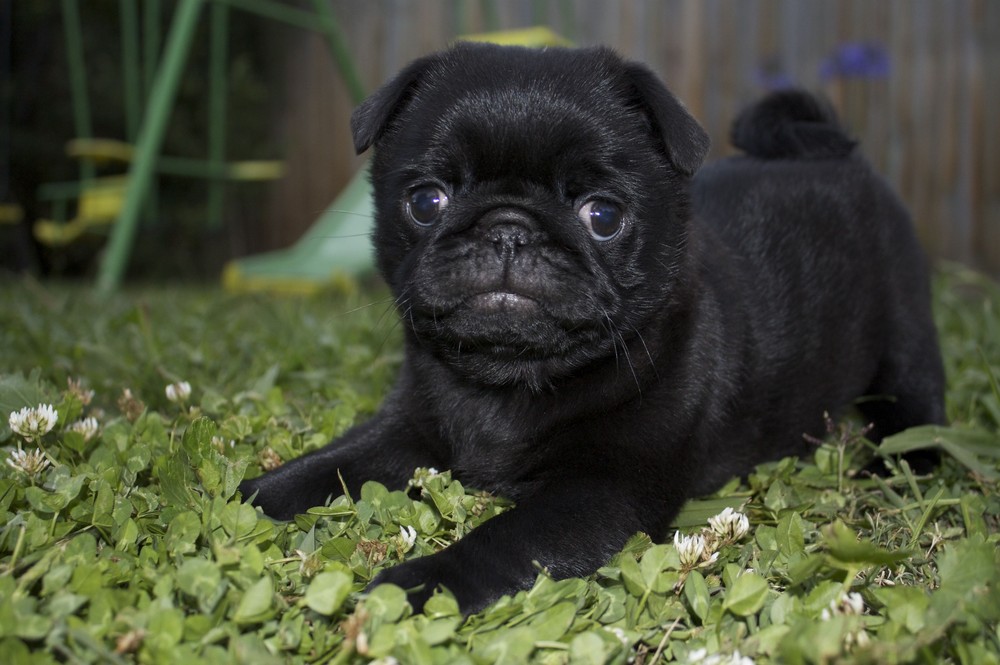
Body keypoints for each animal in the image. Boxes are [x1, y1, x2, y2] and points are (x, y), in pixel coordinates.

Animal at [242, 42, 944, 612]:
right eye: (425, 201)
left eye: (602, 215)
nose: (508, 228)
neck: (509, 382)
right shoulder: (408, 432)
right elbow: (329, 466)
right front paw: (248, 496)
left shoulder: (600, 492)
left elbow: (501, 541)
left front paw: (415, 585)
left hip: (906, 340)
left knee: (918, 405)